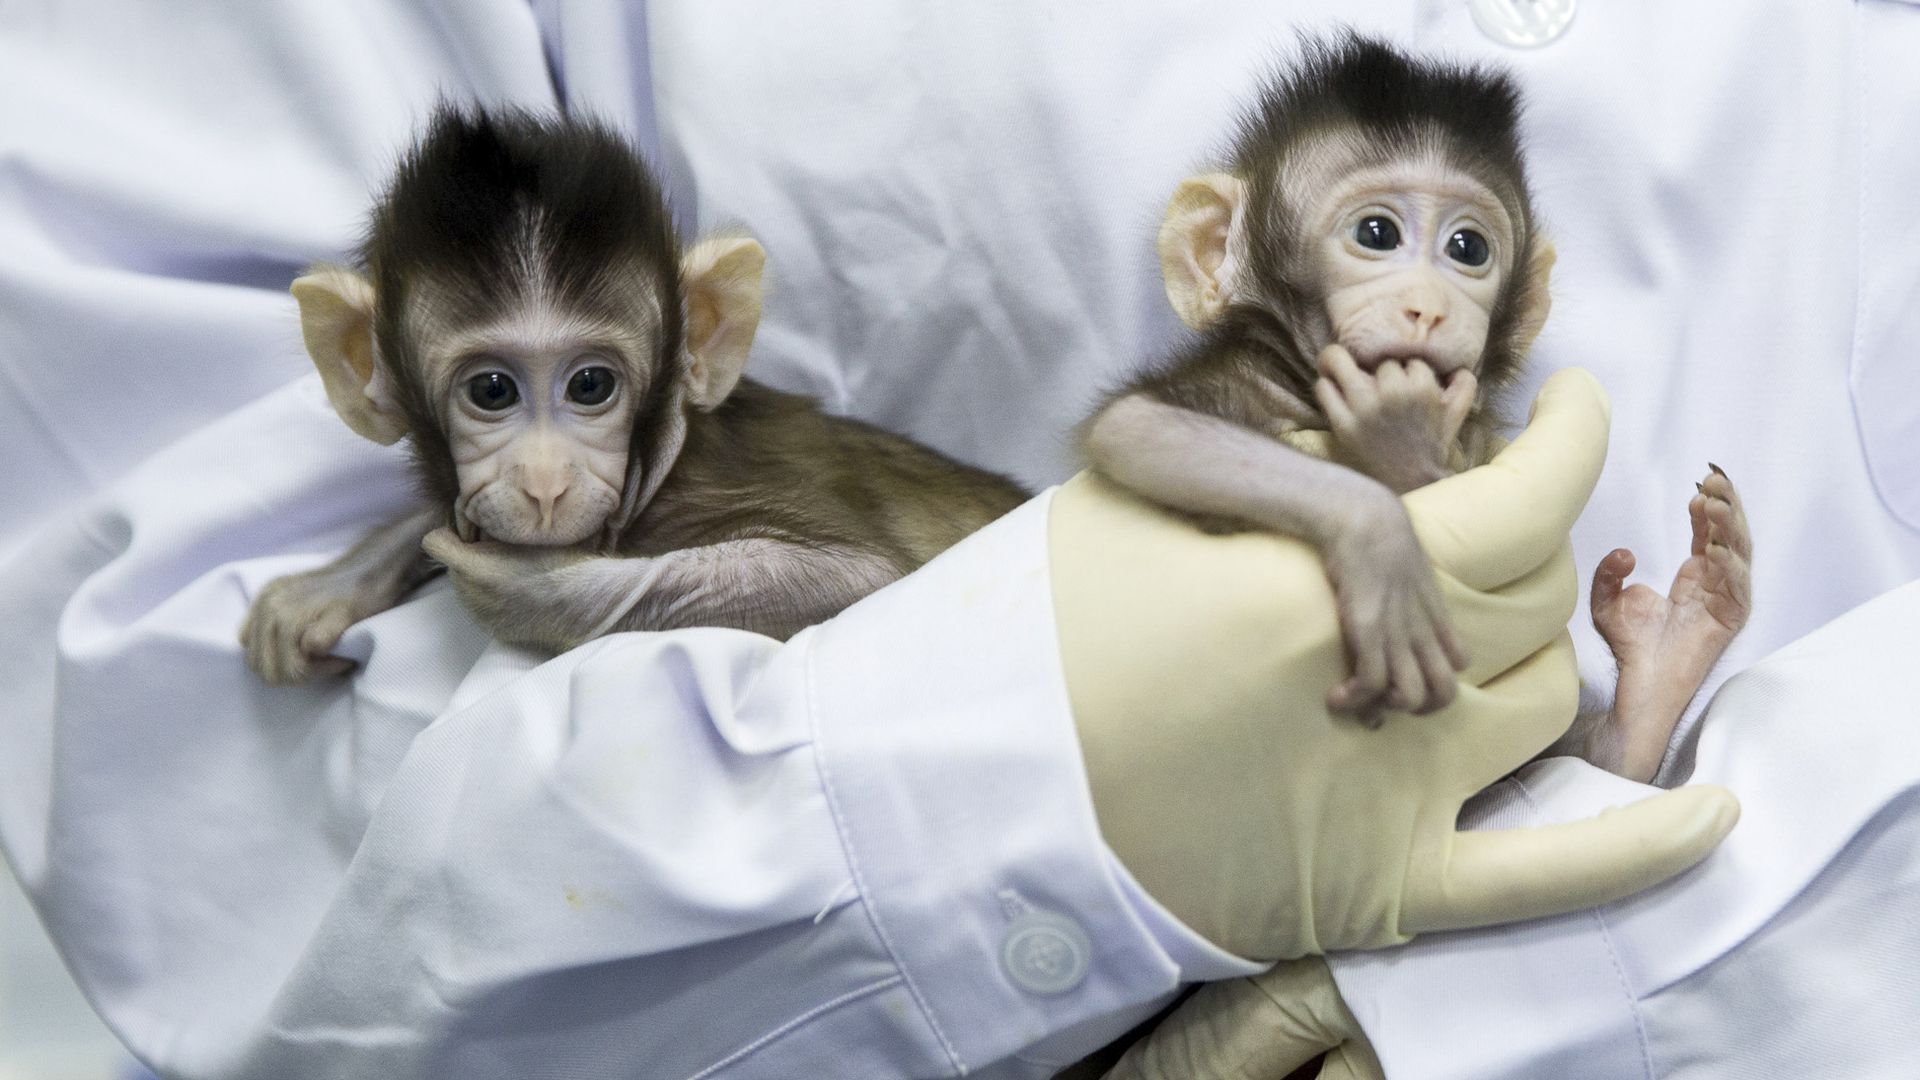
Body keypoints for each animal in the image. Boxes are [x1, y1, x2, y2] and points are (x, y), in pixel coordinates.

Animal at [242, 106, 1028, 685]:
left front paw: (538, 587)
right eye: (492, 390)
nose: (545, 483)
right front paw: (337, 580)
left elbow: (867, 580)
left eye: (591, 385)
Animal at [1081, 35, 1752, 784]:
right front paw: (1382, 538)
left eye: (1468, 248)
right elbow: (1140, 429)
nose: (1428, 306)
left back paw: (1666, 666)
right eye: (1376, 233)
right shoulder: (1240, 378)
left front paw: (1402, 442)